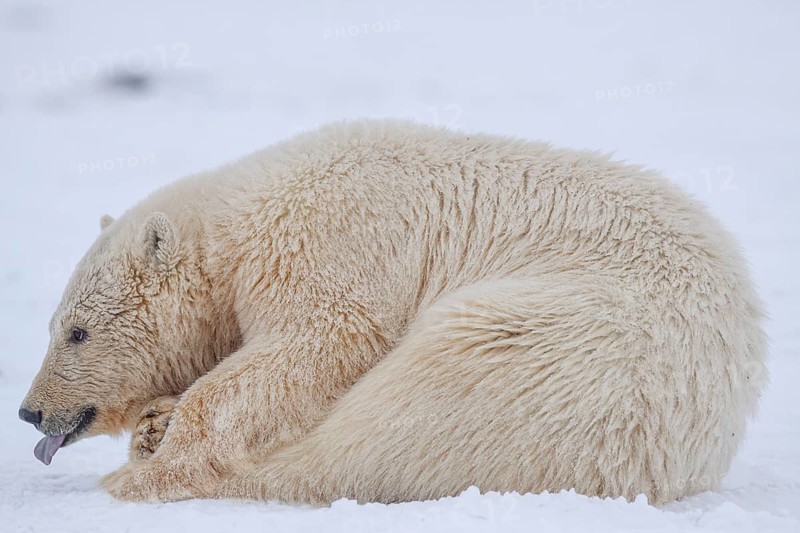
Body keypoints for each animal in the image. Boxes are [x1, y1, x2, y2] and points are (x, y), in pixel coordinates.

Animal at [19, 119, 767, 505]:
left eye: (77, 331)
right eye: (58, 325)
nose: (30, 411)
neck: (243, 221)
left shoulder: (331, 238)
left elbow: (319, 340)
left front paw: (163, 449)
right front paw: (156, 421)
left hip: (572, 350)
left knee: (405, 419)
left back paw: (154, 476)